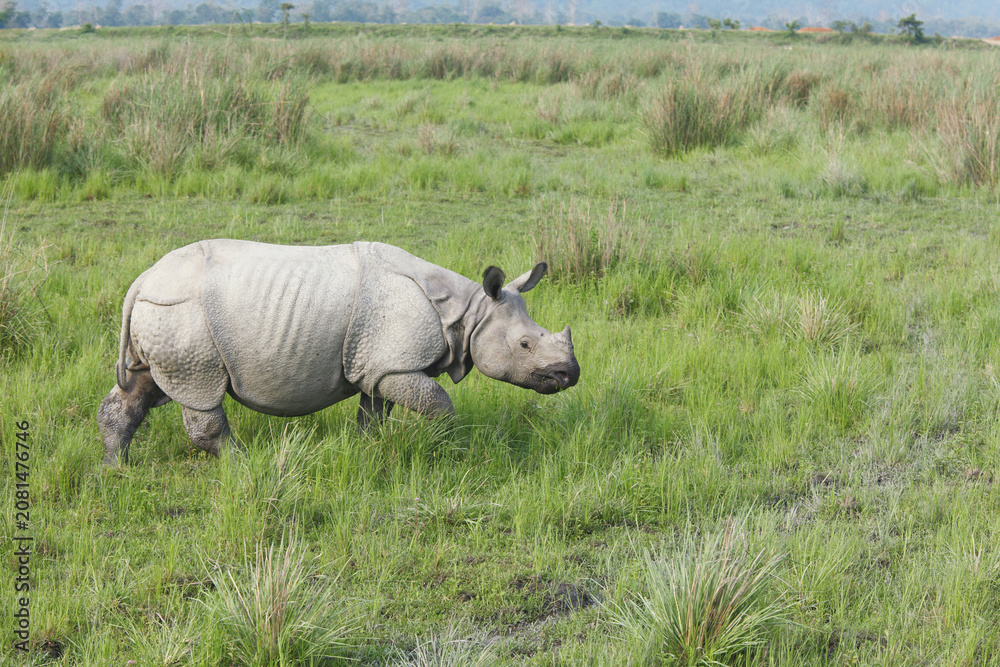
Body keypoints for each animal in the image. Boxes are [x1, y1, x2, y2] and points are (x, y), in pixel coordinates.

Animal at [98, 240, 580, 465]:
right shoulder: (395, 365)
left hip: (161, 315)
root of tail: (141, 280)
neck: (469, 312)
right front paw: (443, 443)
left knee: (141, 385)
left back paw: (115, 468)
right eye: (525, 345)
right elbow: (439, 403)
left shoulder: (378, 365)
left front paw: (370, 450)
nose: (570, 374)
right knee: (200, 393)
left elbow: (373, 414)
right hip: (184, 318)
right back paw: (243, 464)